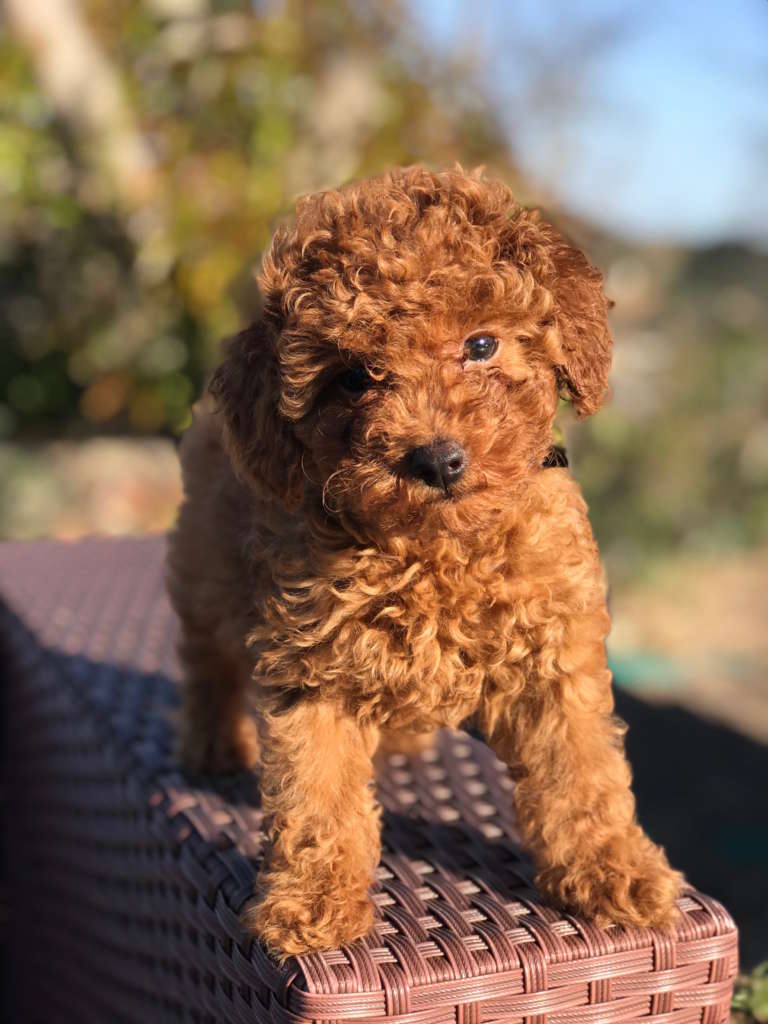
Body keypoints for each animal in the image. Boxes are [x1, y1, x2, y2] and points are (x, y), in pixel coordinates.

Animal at [165, 163, 684, 954]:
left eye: (482, 344)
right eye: (353, 376)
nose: (437, 460)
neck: (438, 547)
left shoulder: (557, 658)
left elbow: (582, 773)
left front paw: (612, 871)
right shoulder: (312, 669)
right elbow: (316, 794)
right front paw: (312, 903)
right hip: (203, 566)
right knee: (207, 659)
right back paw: (212, 742)